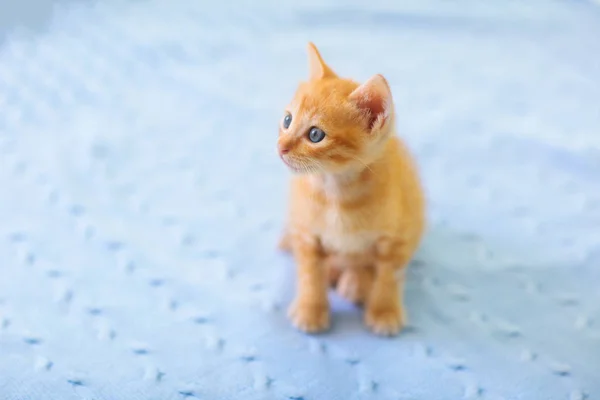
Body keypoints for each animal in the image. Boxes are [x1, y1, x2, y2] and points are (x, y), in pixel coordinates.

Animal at [278, 42, 426, 336]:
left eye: (315, 135)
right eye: (287, 120)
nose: (281, 147)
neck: (337, 192)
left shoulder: (398, 237)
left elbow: (389, 276)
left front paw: (384, 311)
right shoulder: (307, 234)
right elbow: (310, 273)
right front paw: (311, 310)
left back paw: (356, 282)